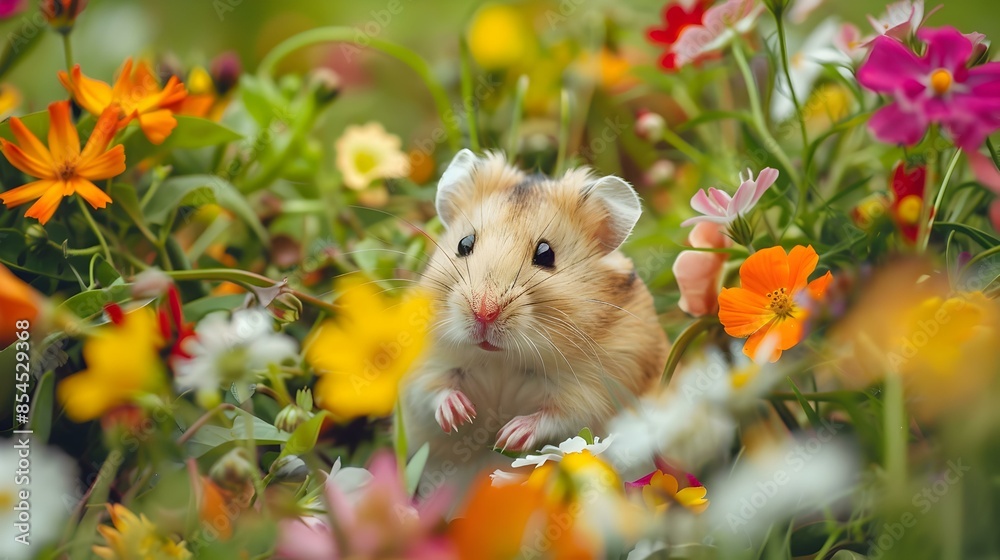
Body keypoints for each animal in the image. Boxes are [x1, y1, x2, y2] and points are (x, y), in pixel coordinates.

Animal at [402, 150, 669, 501]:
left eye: (546, 254)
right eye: (464, 244)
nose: (483, 312)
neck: (501, 359)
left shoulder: (596, 388)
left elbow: (560, 417)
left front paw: (508, 436)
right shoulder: (424, 368)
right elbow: (433, 389)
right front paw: (460, 415)